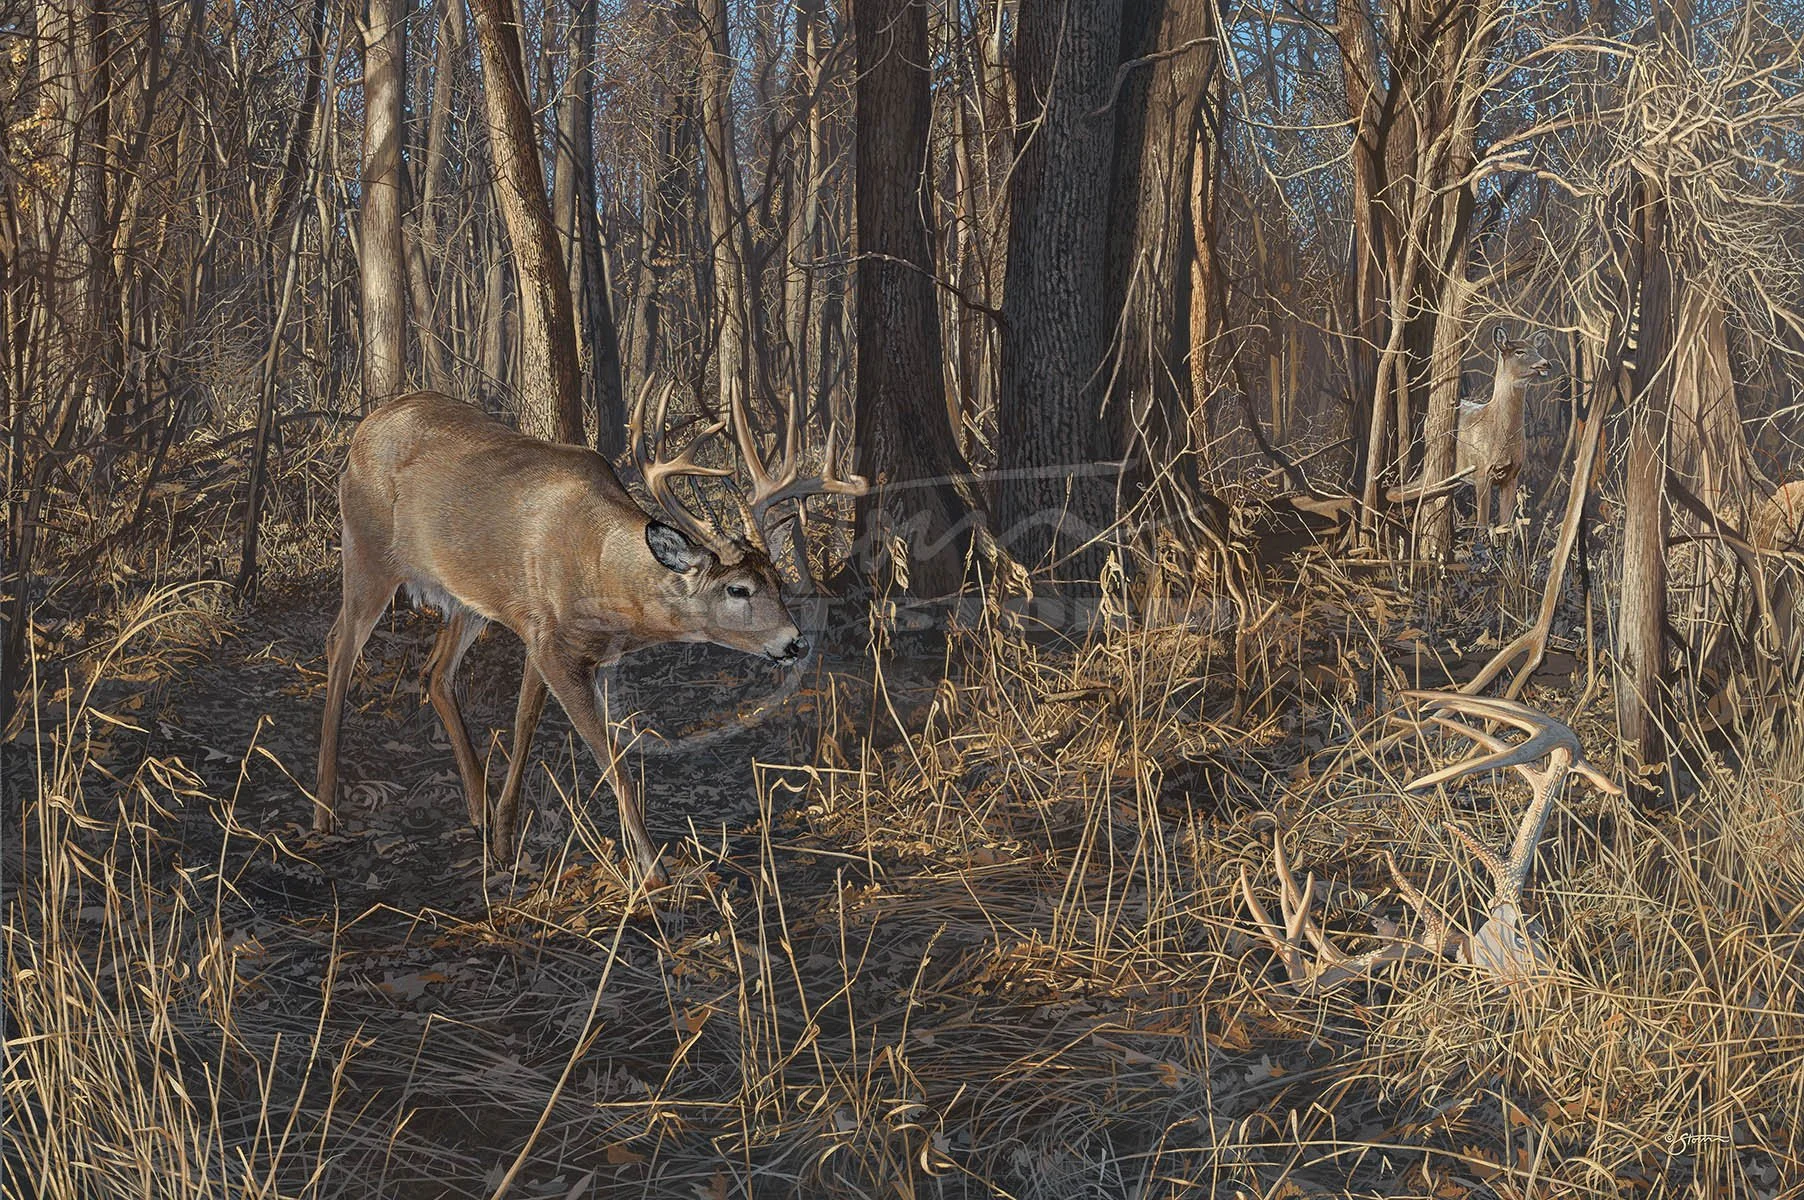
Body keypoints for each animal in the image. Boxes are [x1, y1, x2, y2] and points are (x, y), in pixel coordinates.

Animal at [314, 384, 864, 886]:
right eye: (738, 588)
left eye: (778, 582)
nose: (796, 642)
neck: (605, 574)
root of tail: (365, 428)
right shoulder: (551, 644)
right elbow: (605, 756)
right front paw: (654, 871)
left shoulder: (548, 640)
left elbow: (530, 727)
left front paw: (503, 840)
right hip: (365, 550)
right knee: (339, 644)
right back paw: (324, 813)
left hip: (468, 599)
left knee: (435, 673)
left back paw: (475, 813)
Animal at [1455, 326, 1553, 536]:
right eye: (1519, 351)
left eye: (1536, 349)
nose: (1545, 363)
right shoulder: (1482, 472)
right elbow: (1482, 527)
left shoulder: (1512, 476)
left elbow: (1505, 526)